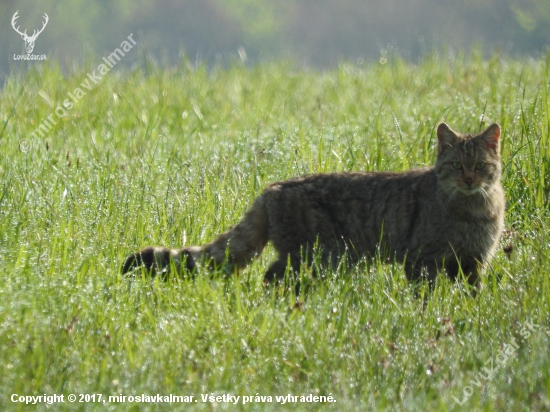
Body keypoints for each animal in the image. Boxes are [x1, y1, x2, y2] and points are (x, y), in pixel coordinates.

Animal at [123, 124, 506, 292]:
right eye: (456, 165)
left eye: (480, 166)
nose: (469, 179)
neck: (472, 208)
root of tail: (271, 188)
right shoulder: (421, 261)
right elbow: (424, 297)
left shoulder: (473, 263)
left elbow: (473, 294)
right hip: (315, 255)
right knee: (270, 276)